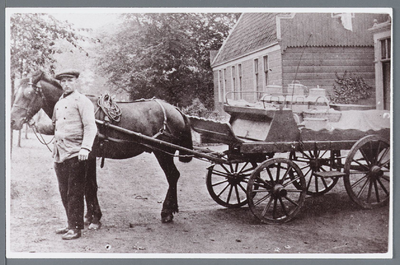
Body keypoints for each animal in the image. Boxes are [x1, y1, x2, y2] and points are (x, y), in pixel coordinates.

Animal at [10, 70, 195, 223]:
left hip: (163, 152)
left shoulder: (88, 156)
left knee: (172, 176)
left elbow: (89, 186)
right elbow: (88, 186)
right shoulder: (87, 157)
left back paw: (167, 212)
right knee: (173, 176)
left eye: (28, 94)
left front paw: (94, 218)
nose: (13, 121)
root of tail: (176, 110)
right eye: (15, 93)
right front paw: (89, 216)